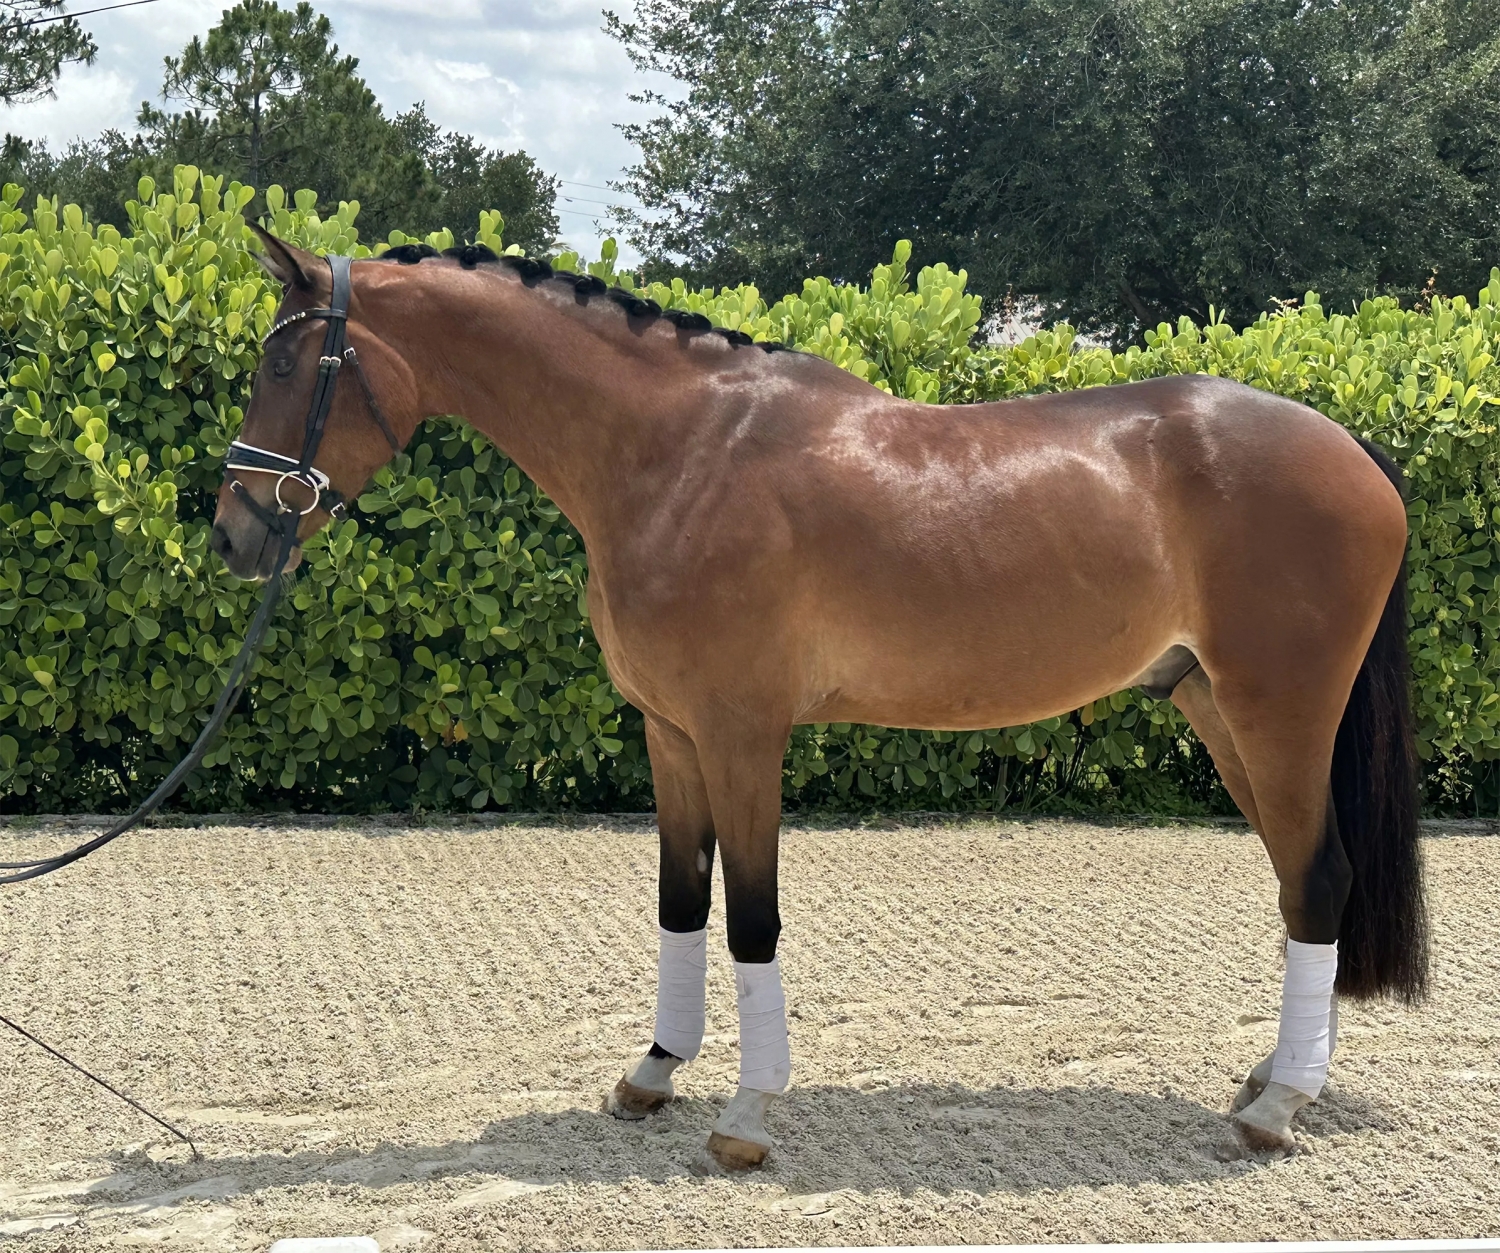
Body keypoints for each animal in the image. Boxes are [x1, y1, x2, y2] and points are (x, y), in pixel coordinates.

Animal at [212, 228, 1427, 1170]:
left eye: (290, 365)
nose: (233, 535)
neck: (680, 454)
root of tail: (1354, 449)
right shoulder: (670, 732)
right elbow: (680, 901)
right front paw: (654, 1072)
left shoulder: (742, 732)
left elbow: (751, 913)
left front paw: (748, 1113)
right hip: (1218, 712)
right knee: (1299, 883)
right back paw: (1274, 1076)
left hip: (1278, 713)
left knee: (1319, 877)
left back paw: (1278, 1106)